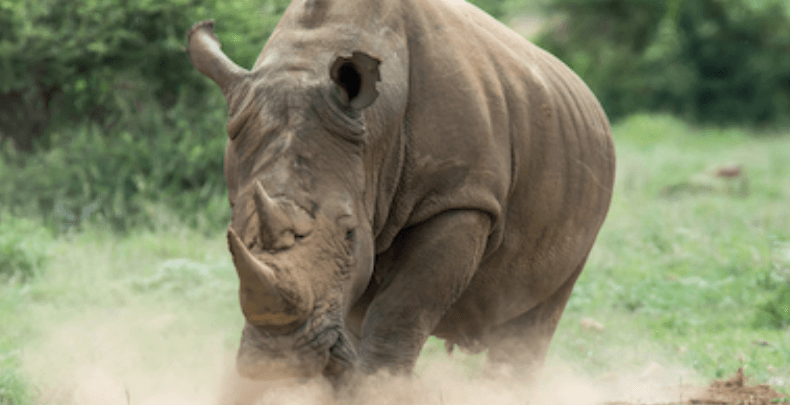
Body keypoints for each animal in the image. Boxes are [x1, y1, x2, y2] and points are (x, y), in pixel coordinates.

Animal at [186, 0, 615, 383]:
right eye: (234, 231)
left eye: (349, 232)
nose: (275, 366)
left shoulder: (460, 198)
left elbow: (400, 310)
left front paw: (382, 387)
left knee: (538, 316)